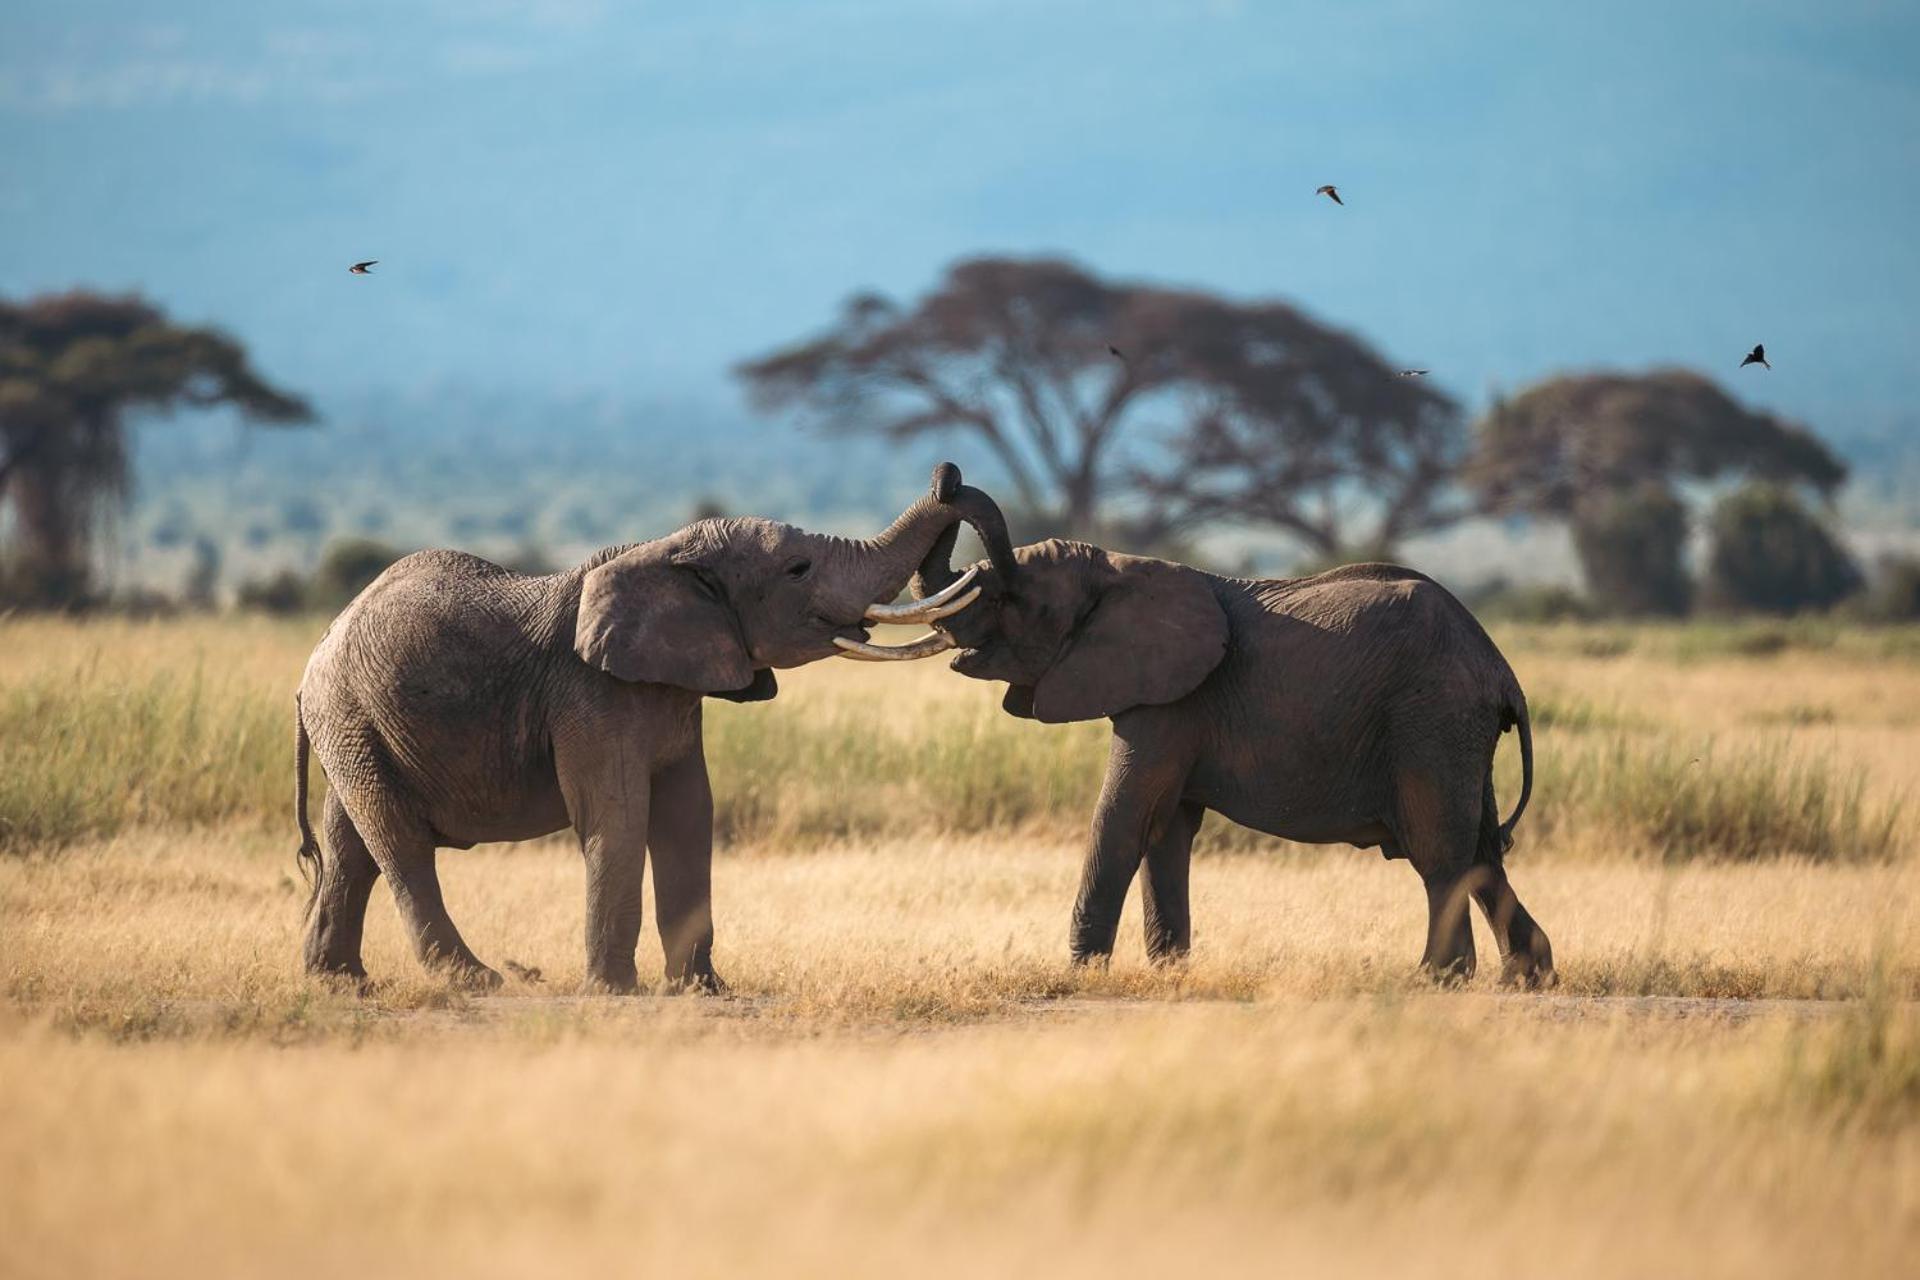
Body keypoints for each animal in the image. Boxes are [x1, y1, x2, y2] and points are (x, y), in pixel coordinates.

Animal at [291, 466, 998, 997]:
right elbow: (620, 814)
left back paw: (340, 984)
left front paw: (703, 991)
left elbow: (689, 813)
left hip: (357, 727)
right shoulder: (592, 695)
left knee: (349, 843)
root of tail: (317, 652)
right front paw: (614, 994)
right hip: (353, 716)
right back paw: (475, 981)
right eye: (798, 569)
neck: (666, 550)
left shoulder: (674, 693)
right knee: (400, 844)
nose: (949, 475)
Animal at [906, 485, 1551, 990]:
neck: (1118, 567)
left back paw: (1438, 979)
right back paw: (1527, 978)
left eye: (1012, 599)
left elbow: (1123, 815)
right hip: (1457, 731)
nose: (949, 476)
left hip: (1431, 719)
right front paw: (1170, 973)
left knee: (1441, 853)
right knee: (1483, 852)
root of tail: (1502, 670)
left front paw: (1081, 974)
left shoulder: (1172, 701)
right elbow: (1165, 826)